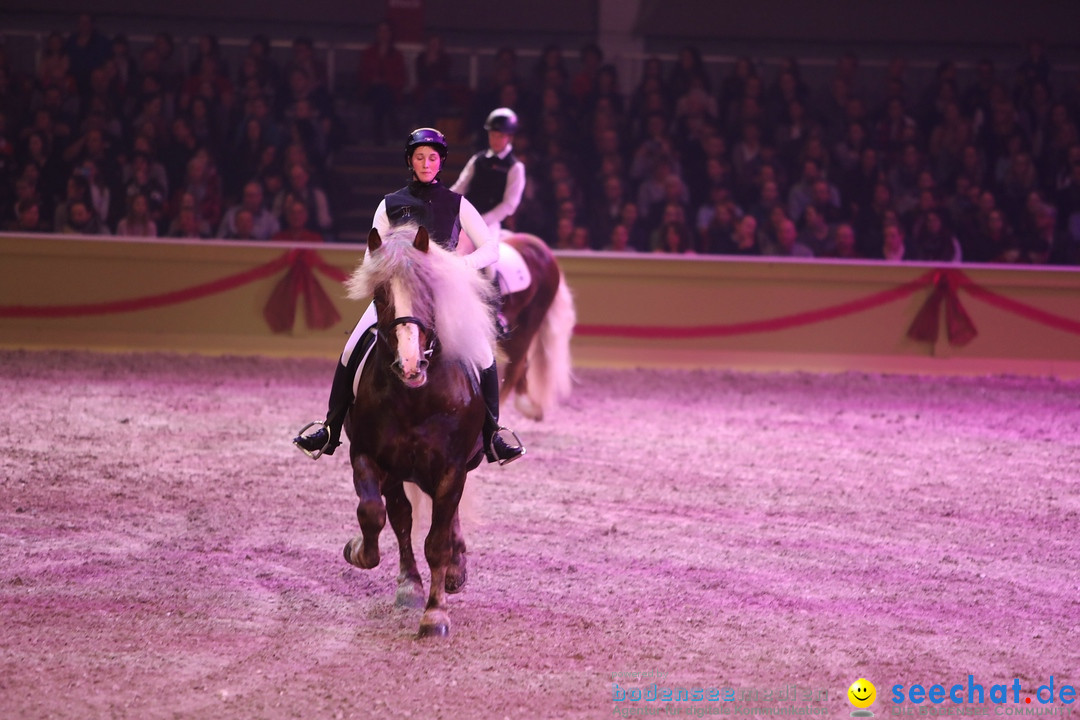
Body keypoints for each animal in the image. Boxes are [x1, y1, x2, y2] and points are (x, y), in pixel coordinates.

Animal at [339, 223, 494, 634]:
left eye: (428, 289)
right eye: (379, 295)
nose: (410, 365)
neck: (415, 397)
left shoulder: (452, 468)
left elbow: (437, 542)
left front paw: (435, 613)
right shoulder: (368, 457)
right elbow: (374, 514)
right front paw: (359, 552)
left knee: (444, 520)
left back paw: (455, 570)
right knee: (401, 519)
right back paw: (409, 585)